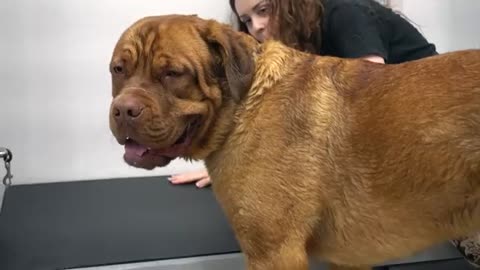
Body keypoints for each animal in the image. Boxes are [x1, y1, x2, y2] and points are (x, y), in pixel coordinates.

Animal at [109, 15, 480, 270]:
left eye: (173, 74)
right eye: (118, 69)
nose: (124, 110)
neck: (241, 104)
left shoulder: (274, 253)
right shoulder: (348, 260)